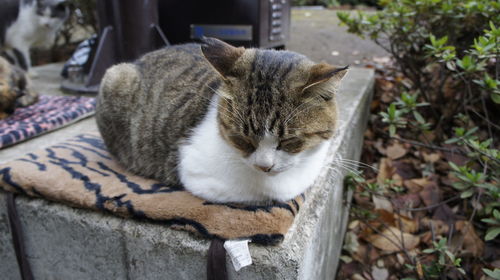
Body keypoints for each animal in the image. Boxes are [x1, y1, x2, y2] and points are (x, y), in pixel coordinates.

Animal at [96, 37, 348, 203]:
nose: (264, 167)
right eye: (242, 140)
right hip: (115, 76)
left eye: (289, 141)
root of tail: (139, 59)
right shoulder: (196, 173)